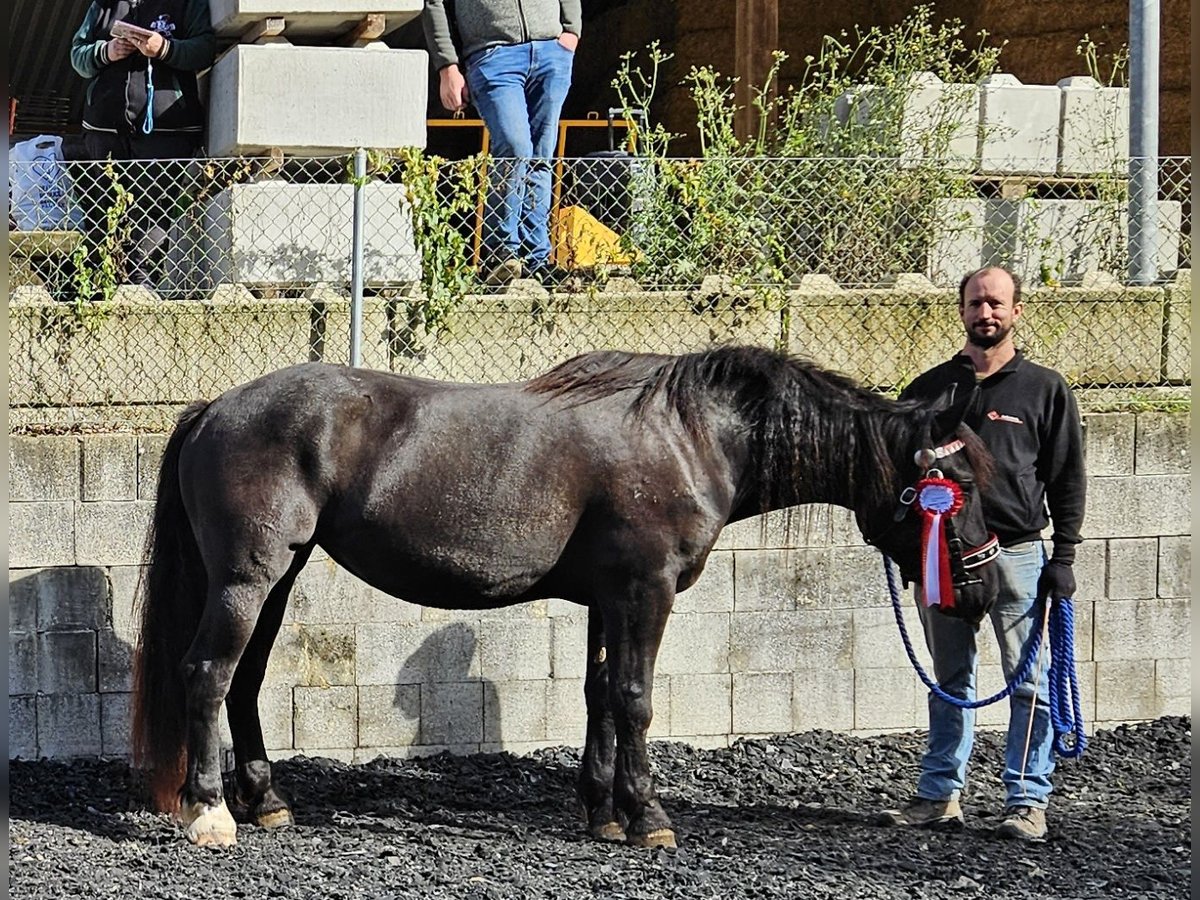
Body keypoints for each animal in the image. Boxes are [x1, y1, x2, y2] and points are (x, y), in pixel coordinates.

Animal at [129, 345, 993, 844]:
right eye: (955, 486)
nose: (980, 586)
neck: (690, 434)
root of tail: (215, 408)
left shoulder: (607, 601)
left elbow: (600, 698)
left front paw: (602, 813)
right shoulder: (646, 591)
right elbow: (637, 700)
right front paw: (648, 819)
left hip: (277, 577)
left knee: (243, 682)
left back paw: (265, 802)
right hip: (248, 577)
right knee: (207, 675)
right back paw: (210, 813)